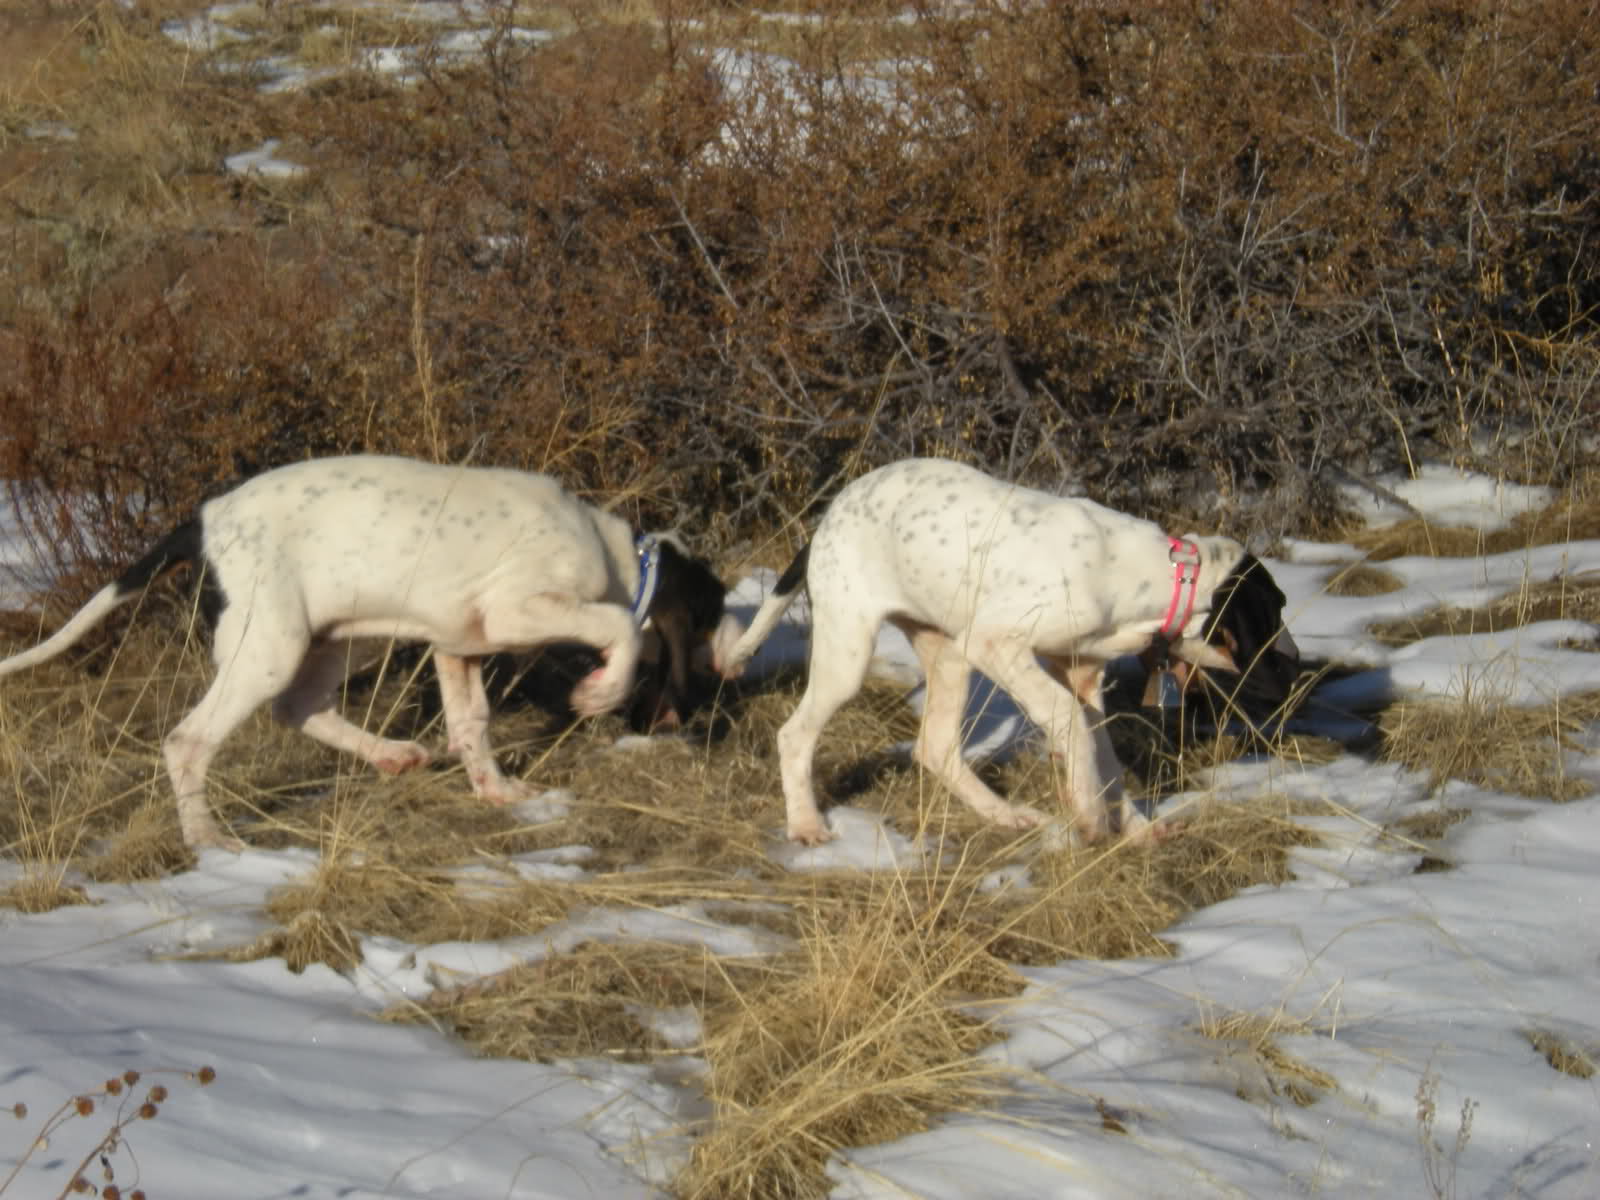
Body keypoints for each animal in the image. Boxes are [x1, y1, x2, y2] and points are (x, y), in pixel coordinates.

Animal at [0, 454, 726, 851]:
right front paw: (597, 692)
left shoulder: (455, 644)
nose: (708, 693)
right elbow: (621, 627)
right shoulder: (515, 609)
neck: (615, 554)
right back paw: (205, 836)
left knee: (299, 707)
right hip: (272, 642)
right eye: (705, 628)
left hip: (345, 636)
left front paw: (496, 790)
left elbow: (472, 723)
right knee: (188, 740)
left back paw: (391, 755)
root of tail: (203, 521)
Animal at [720, 457, 1292, 844]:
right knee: (796, 735)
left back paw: (1006, 815)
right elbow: (1071, 723)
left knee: (935, 748)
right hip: (852, 652)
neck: (1163, 576)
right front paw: (1091, 817)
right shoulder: (997, 643)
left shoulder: (1079, 673)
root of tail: (828, 517)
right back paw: (806, 824)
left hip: (947, 653)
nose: (1290, 685)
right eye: (1273, 618)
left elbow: (1102, 753)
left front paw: (1130, 826)